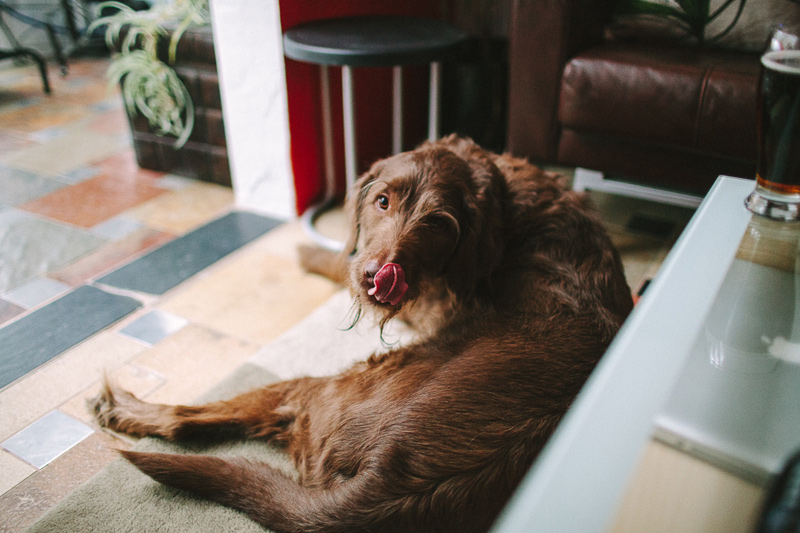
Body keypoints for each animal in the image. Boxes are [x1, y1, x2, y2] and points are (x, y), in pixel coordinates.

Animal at [92, 136, 632, 532]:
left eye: (439, 224)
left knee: (191, 419)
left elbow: (339, 261)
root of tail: (384, 491)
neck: (510, 201)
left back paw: (129, 409)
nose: (379, 278)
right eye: (382, 201)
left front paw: (311, 255)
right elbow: (342, 257)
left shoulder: (432, 301)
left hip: (321, 388)